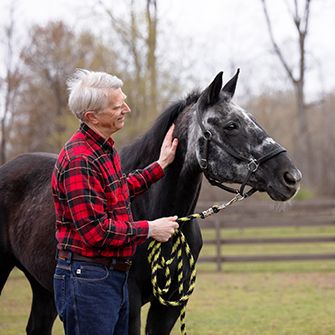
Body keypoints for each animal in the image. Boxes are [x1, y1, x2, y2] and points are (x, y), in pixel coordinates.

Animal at [0, 69, 304, 334]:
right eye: (231, 125)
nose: (291, 177)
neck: (153, 207)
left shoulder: (169, 306)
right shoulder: (130, 305)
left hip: (44, 288)